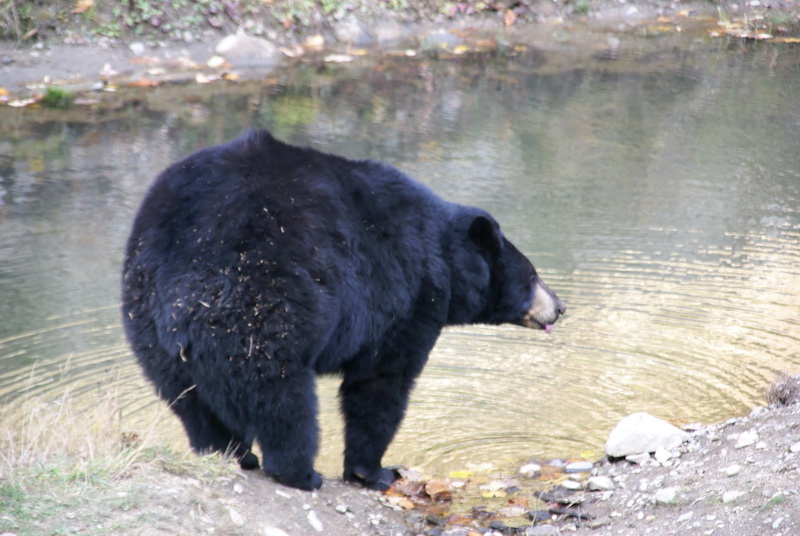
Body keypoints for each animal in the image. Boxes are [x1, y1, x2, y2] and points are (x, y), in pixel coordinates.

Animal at [122, 130, 564, 490]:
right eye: (531, 277)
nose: (560, 307)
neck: (445, 256)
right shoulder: (405, 293)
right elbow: (381, 382)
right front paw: (374, 471)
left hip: (149, 321)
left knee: (190, 401)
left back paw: (231, 454)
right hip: (263, 297)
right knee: (280, 393)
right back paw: (300, 472)